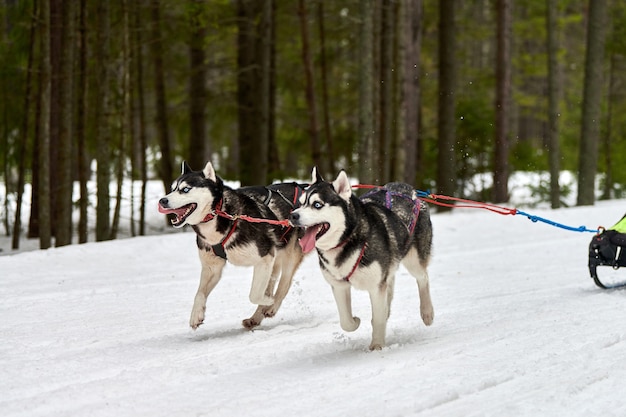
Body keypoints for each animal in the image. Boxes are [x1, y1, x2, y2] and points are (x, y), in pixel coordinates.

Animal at [156, 161, 302, 330]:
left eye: (185, 189)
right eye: (172, 189)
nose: (162, 201)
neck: (223, 214)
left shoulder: (264, 257)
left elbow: (254, 294)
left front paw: (268, 301)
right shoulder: (212, 267)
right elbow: (199, 294)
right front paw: (196, 315)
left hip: (288, 258)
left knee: (284, 285)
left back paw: (270, 306)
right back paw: (255, 318)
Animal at [288, 167, 432, 350]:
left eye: (317, 205)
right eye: (300, 203)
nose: (292, 216)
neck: (347, 240)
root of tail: (408, 190)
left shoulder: (376, 286)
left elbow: (377, 318)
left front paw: (377, 346)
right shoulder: (339, 285)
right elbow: (346, 322)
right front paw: (355, 321)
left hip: (414, 261)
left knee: (423, 278)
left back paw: (427, 312)